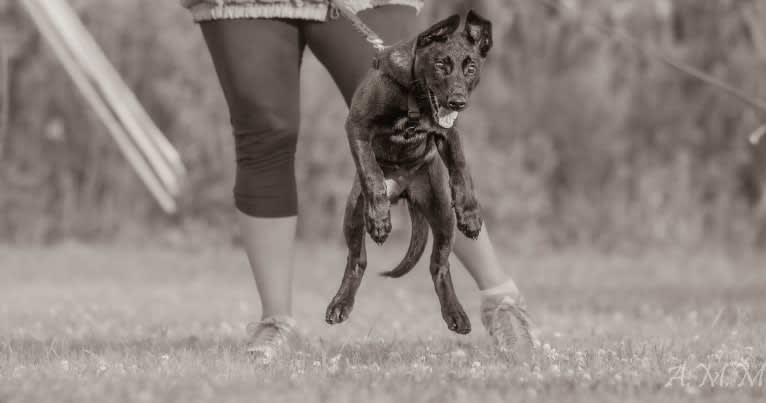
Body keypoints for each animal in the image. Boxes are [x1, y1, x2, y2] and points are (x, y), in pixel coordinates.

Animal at [326, 11, 496, 336]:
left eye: (470, 68)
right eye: (441, 64)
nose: (458, 101)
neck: (415, 100)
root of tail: (403, 191)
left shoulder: (449, 133)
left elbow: (461, 167)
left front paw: (470, 213)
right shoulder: (357, 126)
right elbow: (370, 170)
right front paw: (379, 218)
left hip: (441, 214)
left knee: (439, 265)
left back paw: (455, 314)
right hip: (353, 211)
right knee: (357, 259)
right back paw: (340, 304)